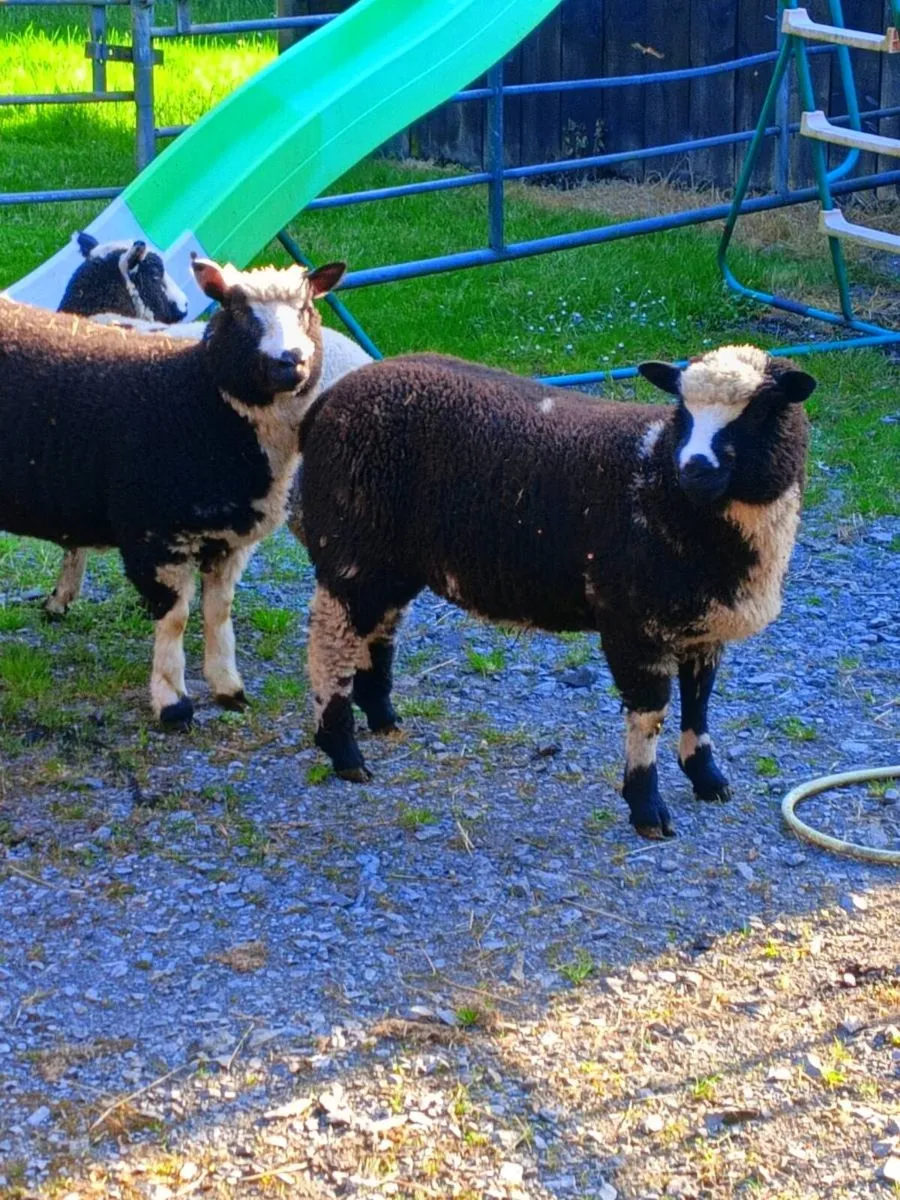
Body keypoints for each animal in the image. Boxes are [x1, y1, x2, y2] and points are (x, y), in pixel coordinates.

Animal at [0, 255, 345, 727]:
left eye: (306, 309)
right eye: (237, 312)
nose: (289, 362)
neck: (197, 399)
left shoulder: (230, 540)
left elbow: (218, 611)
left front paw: (228, 688)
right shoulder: (155, 533)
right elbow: (177, 616)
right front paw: (172, 702)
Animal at [297, 346, 816, 839]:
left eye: (760, 411)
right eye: (683, 410)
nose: (694, 469)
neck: (661, 482)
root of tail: (329, 401)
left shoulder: (700, 625)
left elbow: (700, 700)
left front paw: (707, 778)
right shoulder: (630, 619)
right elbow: (650, 714)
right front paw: (646, 807)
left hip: (390, 559)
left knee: (378, 629)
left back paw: (382, 717)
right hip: (351, 547)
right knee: (331, 643)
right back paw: (344, 753)